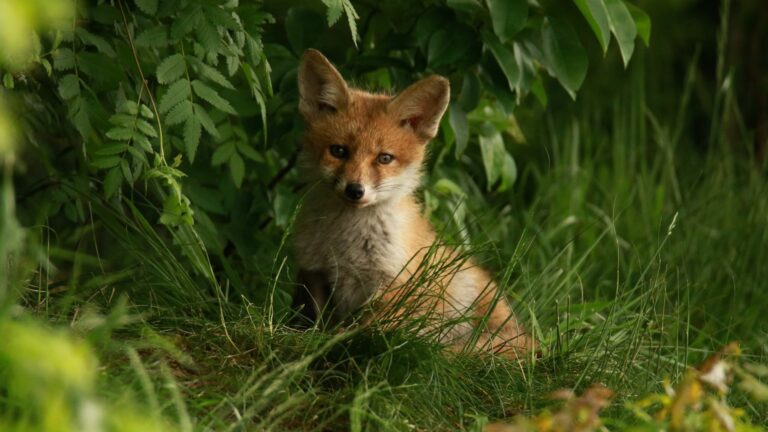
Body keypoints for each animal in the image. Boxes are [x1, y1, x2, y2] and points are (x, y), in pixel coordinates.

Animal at [291, 49, 537, 359]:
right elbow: (315, 320)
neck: (345, 243)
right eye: (338, 151)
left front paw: (341, 342)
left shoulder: (394, 284)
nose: (355, 190)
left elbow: (367, 329)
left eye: (384, 158)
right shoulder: (314, 271)